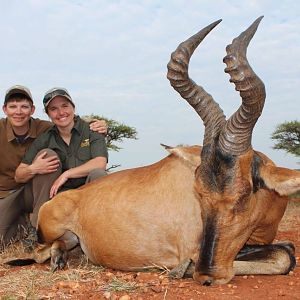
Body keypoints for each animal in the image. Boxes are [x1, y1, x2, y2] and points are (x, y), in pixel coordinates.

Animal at [5, 17, 300, 286]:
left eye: (244, 195)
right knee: (40, 252)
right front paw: (181, 270)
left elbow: (286, 251)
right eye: (199, 194)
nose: (207, 276)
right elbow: (285, 255)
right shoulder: (191, 247)